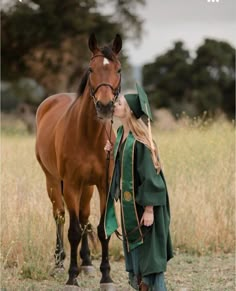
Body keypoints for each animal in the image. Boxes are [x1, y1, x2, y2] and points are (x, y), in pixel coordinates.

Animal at [35, 33, 121, 288]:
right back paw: (59, 262)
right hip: (53, 181)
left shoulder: (104, 186)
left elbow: (102, 229)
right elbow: (73, 230)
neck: (89, 135)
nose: (104, 106)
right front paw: (72, 276)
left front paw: (105, 276)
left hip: (87, 188)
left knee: (83, 216)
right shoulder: (72, 184)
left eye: (119, 69)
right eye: (91, 69)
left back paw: (87, 263)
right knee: (61, 216)